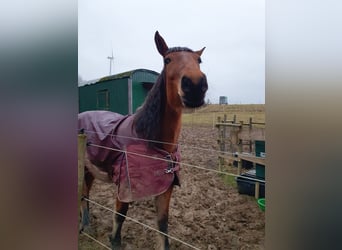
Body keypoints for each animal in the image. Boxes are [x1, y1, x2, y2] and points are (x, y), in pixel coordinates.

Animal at [79, 31, 208, 250]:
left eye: (198, 60)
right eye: (167, 60)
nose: (195, 85)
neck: (150, 141)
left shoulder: (165, 188)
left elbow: (163, 225)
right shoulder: (125, 186)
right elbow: (120, 216)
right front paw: (114, 242)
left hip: (90, 169)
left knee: (85, 193)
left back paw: (86, 225)